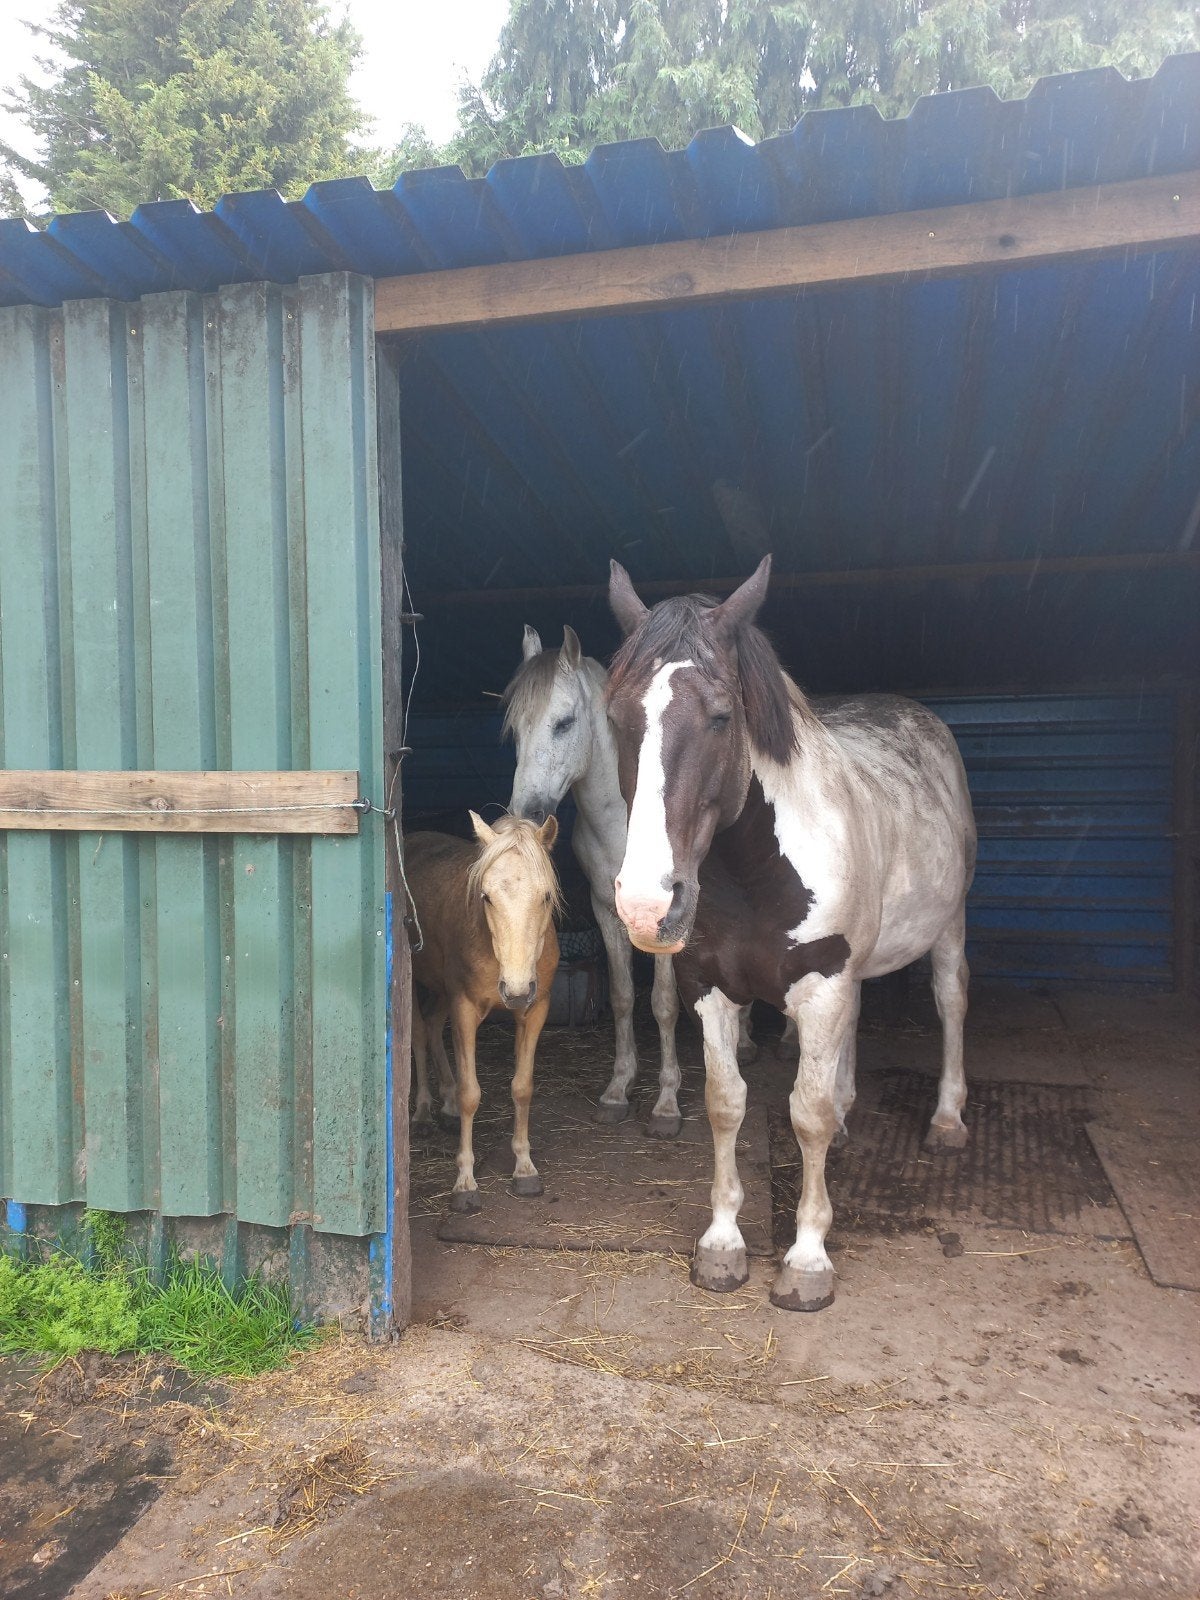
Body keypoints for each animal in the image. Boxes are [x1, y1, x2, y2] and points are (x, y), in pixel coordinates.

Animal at [406, 813, 561, 1213]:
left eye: (546, 896)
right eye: (487, 897)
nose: (516, 989)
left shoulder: (536, 1009)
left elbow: (522, 1087)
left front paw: (524, 1168)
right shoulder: (464, 1009)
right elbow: (470, 1094)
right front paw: (465, 1183)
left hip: (442, 989)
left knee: (432, 1026)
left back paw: (444, 1105)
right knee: (418, 1033)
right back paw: (424, 1112)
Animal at [605, 555, 976, 1312]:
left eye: (721, 716)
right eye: (617, 717)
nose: (646, 905)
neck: (754, 871)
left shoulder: (823, 979)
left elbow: (805, 1113)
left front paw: (807, 1259)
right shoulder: (712, 987)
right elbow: (726, 1105)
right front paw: (722, 1245)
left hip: (946, 926)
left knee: (951, 1002)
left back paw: (947, 1121)